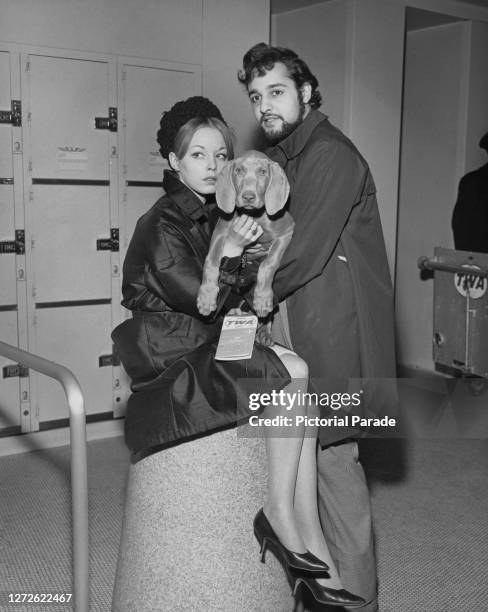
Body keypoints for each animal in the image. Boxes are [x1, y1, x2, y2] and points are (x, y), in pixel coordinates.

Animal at [195, 151, 294, 320]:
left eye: (263, 172)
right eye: (239, 171)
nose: (248, 197)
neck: (254, 215)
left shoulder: (287, 230)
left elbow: (268, 263)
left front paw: (262, 298)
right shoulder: (220, 232)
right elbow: (211, 261)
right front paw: (207, 296)